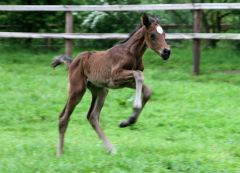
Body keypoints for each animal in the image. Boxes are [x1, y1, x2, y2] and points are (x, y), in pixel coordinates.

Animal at [52, 13, 171, 155]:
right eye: (152, 35)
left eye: (164, 34)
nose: (166, 52)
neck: (132, 53)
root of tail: (72, 63)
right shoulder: (116, 76)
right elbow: (139, 75)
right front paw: (135, 106)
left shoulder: (126, 82)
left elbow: (147, 90)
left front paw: (128, 121)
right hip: (77, 90)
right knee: (64, 117)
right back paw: (60, 153)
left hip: (100, 90)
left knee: (92, 116)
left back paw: (111, 149)